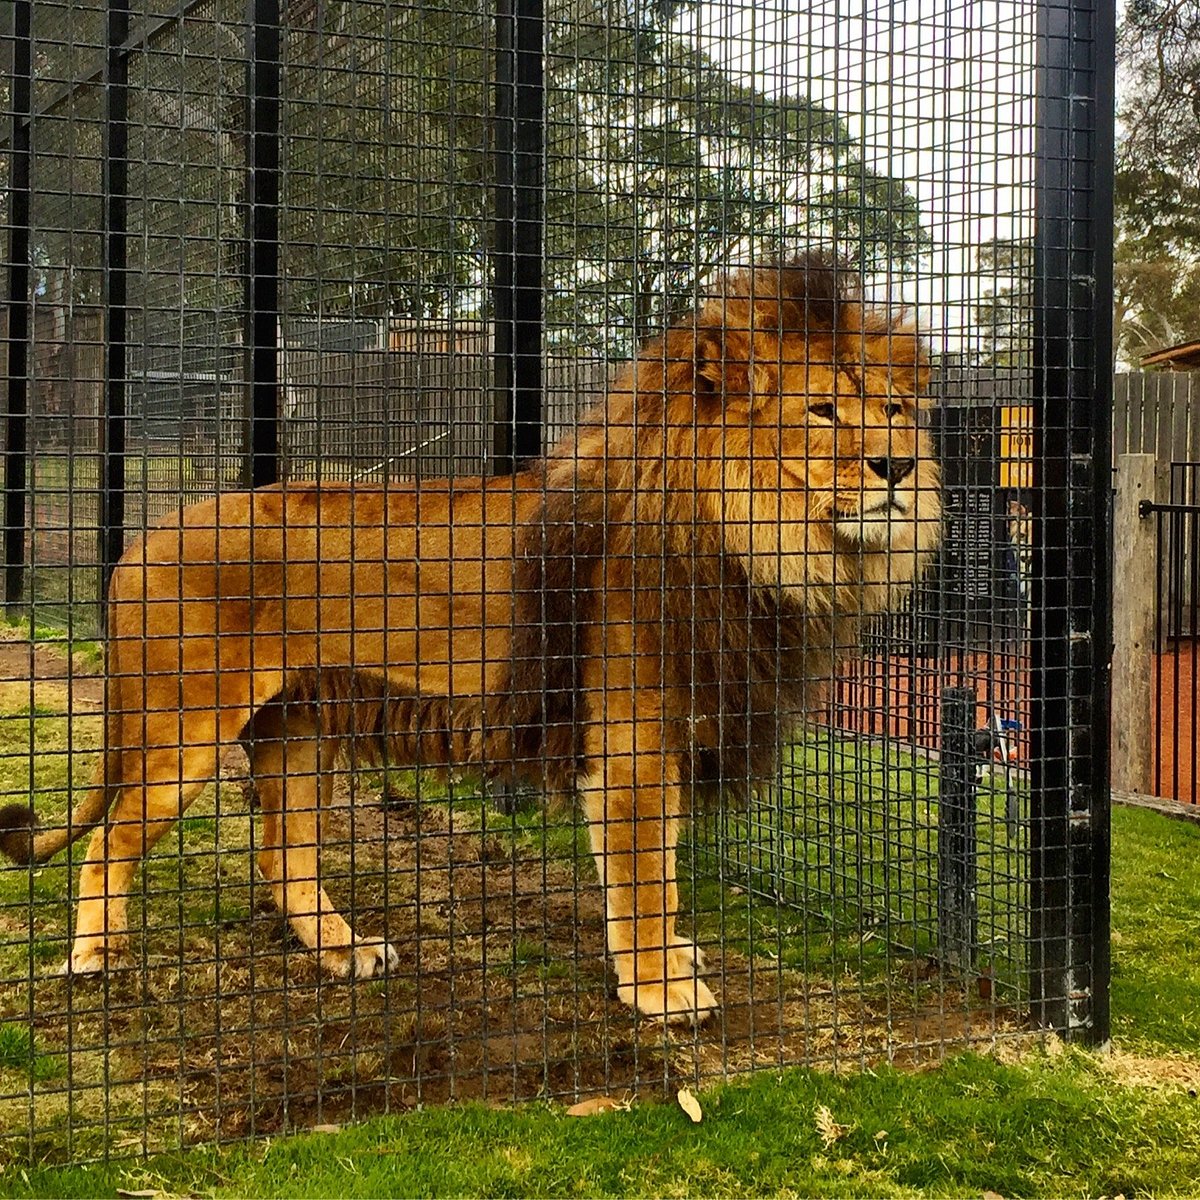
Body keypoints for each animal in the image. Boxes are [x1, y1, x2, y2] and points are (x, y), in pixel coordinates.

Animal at [0, 253, 936, 1022]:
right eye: (823, 410)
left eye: (894, 410)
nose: (899, 467)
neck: (758, 541)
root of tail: (140, 541)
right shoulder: (630, 741)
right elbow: (643, 872)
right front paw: (659, 989)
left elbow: (658, 871)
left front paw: (671, 958)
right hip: (182, 733)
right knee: (111, 843)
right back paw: (94, 957)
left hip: (296, 731)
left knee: (282, 856)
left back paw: (344, 949)